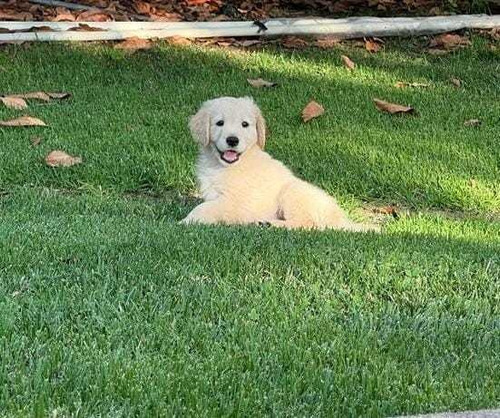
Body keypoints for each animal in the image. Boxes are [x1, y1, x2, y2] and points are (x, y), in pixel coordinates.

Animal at [182, 96, 376, 232]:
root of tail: (340, 218)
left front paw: (185, 221)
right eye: (219, 123)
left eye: (245, 124)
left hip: (292, 192)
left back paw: (271, 224)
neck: (224, 166)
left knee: (308, 223)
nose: (232, 140)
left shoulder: (235, 200)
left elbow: (205, 207)